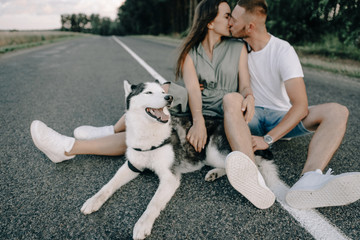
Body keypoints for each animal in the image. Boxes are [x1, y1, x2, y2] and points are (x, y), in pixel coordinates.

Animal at [80, 81, 274, 240]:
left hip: (212, 150)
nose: (169, 97)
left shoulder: (169, 177)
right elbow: (108, 186)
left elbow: (153, 203)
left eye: (162, 91)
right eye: (148, 92)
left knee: (242, 161)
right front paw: (93, 201)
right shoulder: (132, 166)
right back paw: (214, 173)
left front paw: (143, 224)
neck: (148, 134)